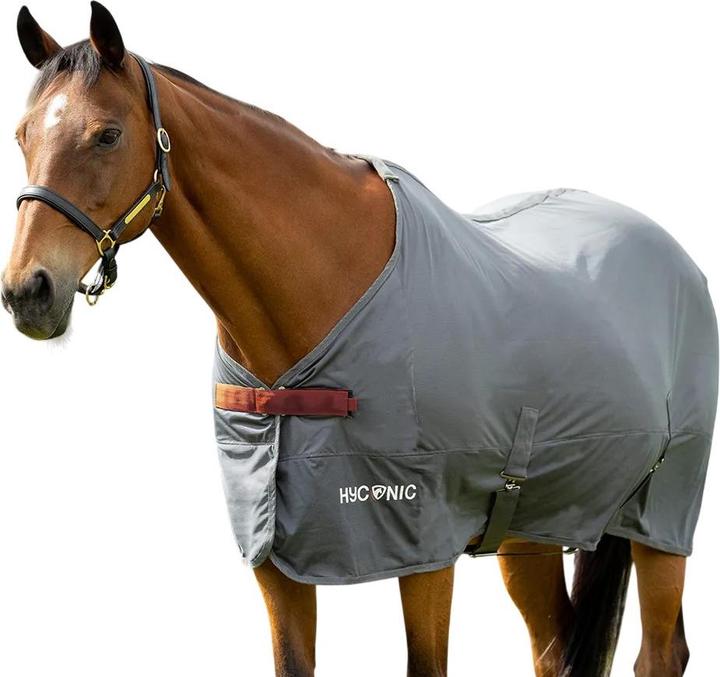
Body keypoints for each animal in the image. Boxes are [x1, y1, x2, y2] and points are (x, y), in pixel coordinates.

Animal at [2, 4, 714, 676]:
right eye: (22, 135)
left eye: (108, 135)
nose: (27, 292)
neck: (325, 290)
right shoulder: (273, 553)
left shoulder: (424, 547)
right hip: (533, 527)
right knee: (553, 646)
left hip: (662, 519)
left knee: (660, 652)